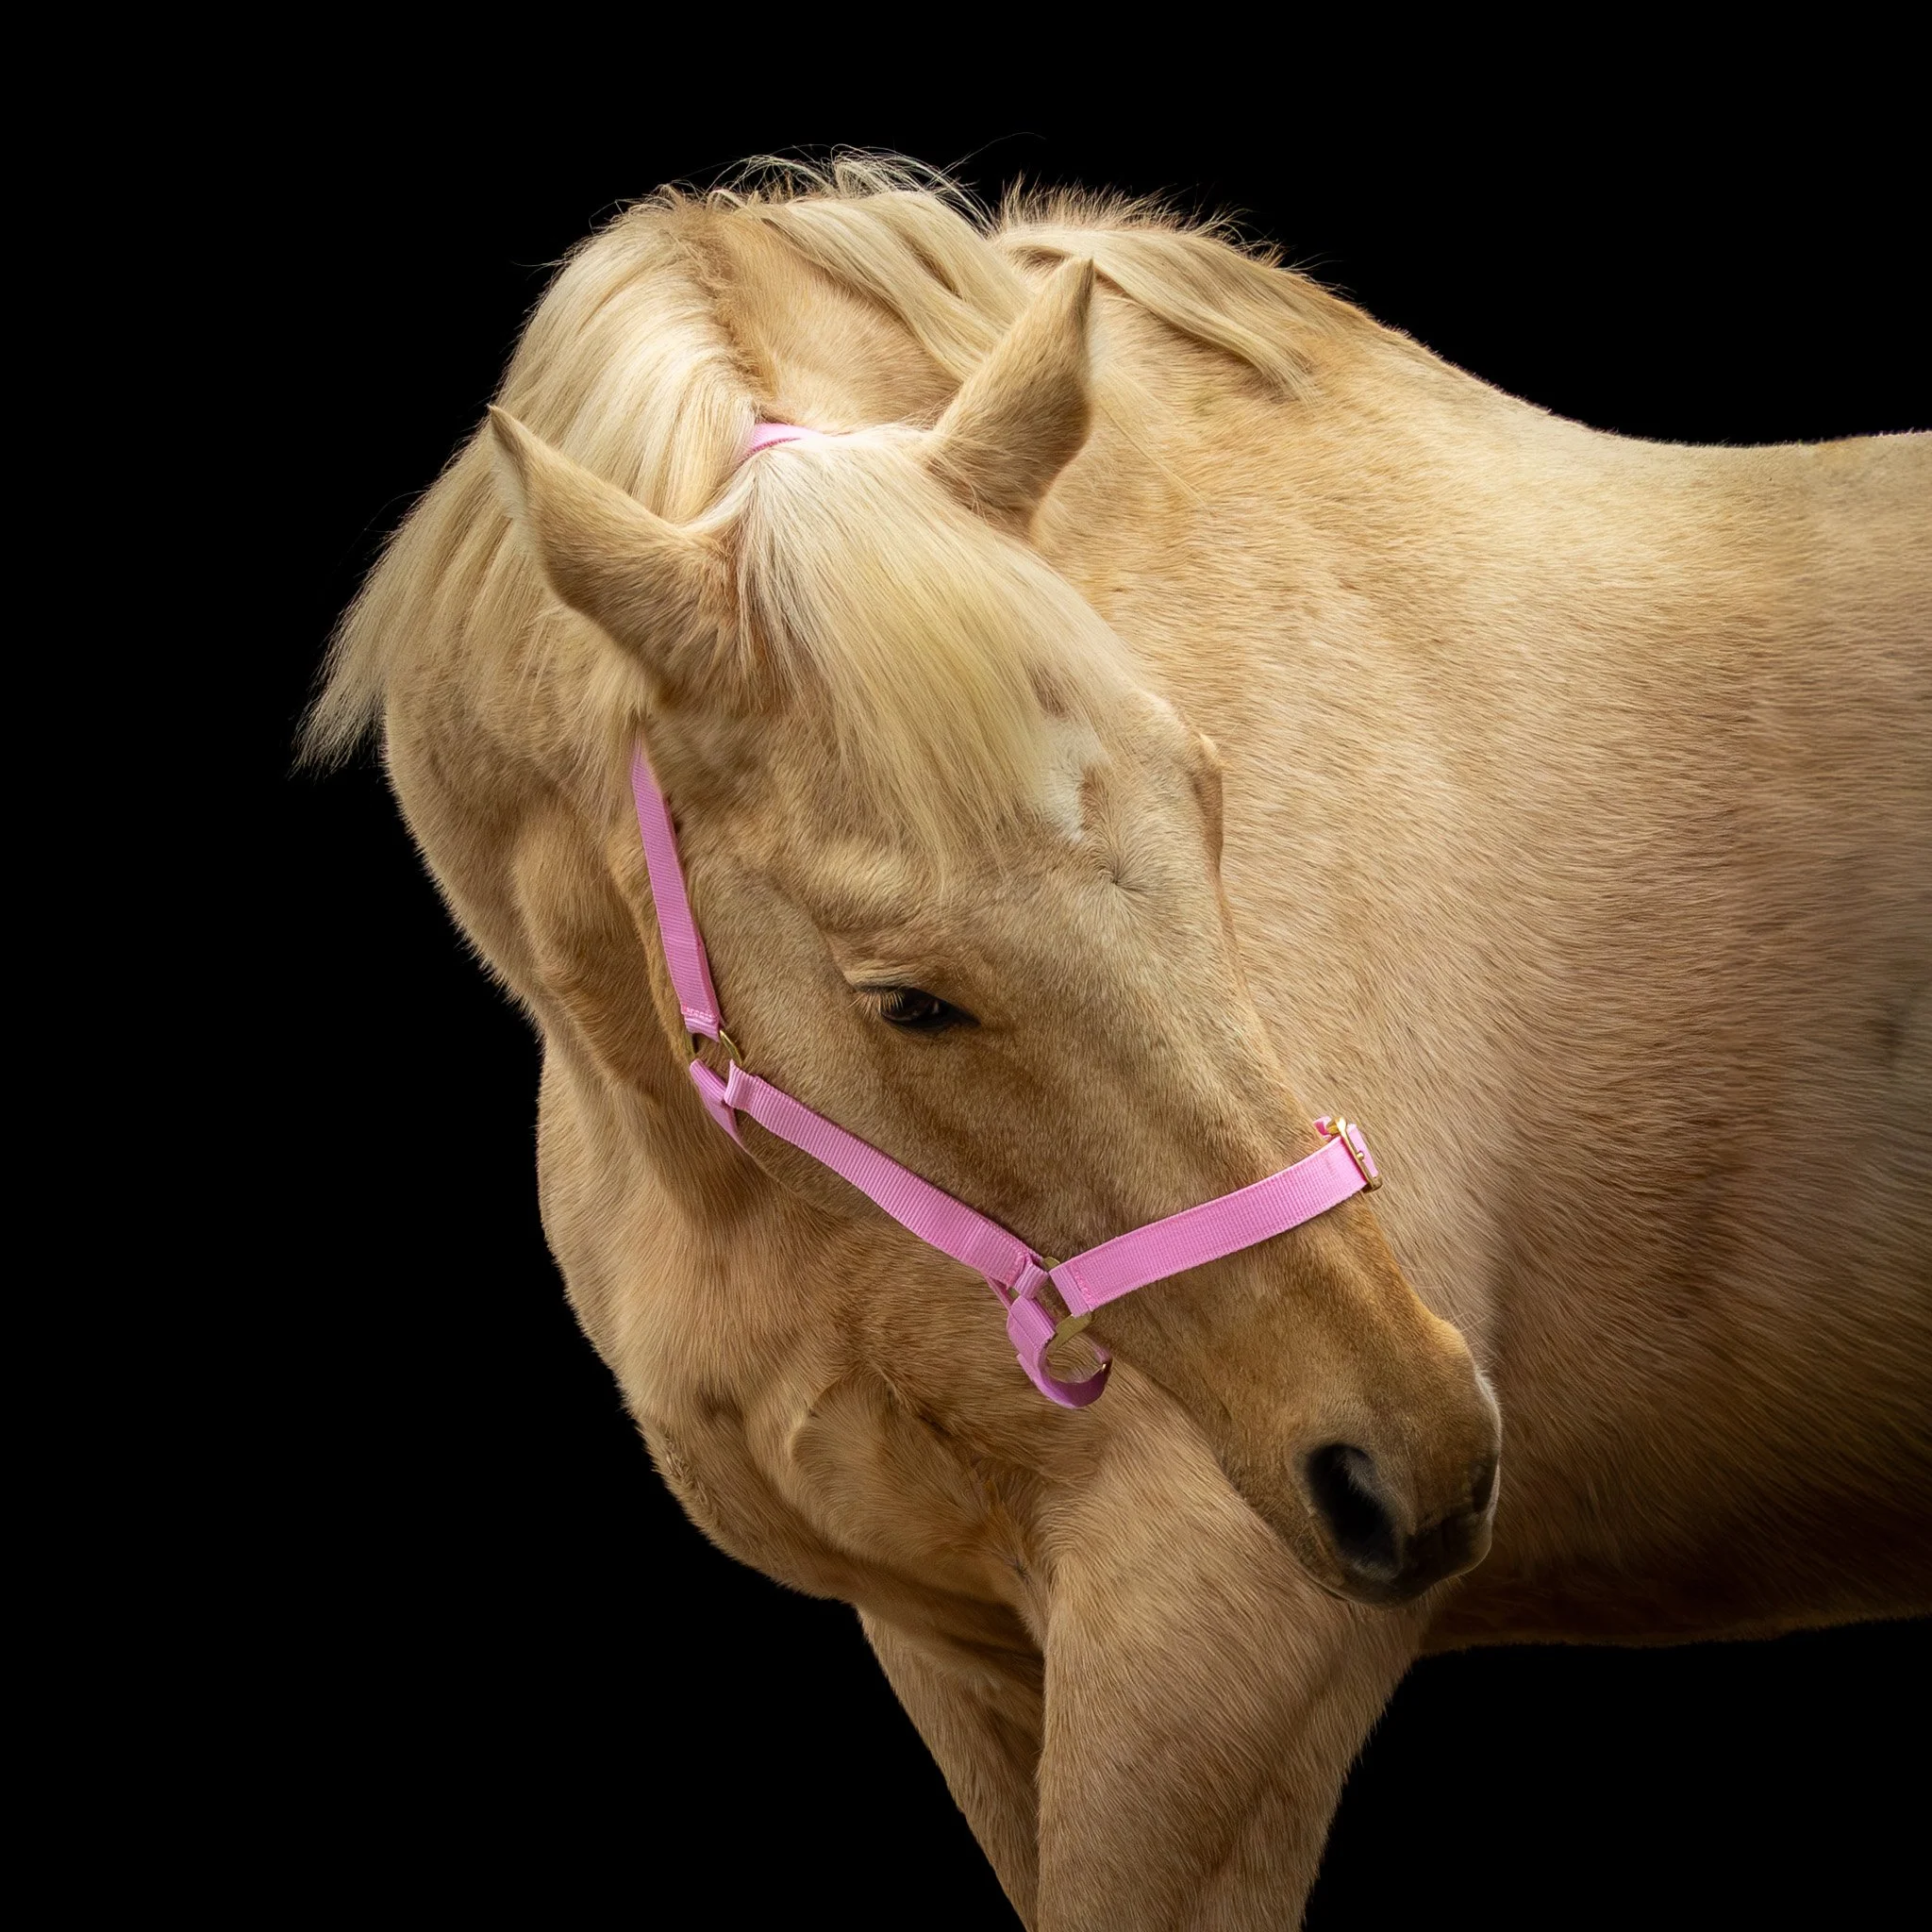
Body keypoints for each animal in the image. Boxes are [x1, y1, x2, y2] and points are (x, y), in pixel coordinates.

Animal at [310, 161, 1931, 1927]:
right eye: (904, 997)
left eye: (1213, 799)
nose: (1418, 1455)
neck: (742, 1196)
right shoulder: (955, 1646)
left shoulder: (1210, 1656)